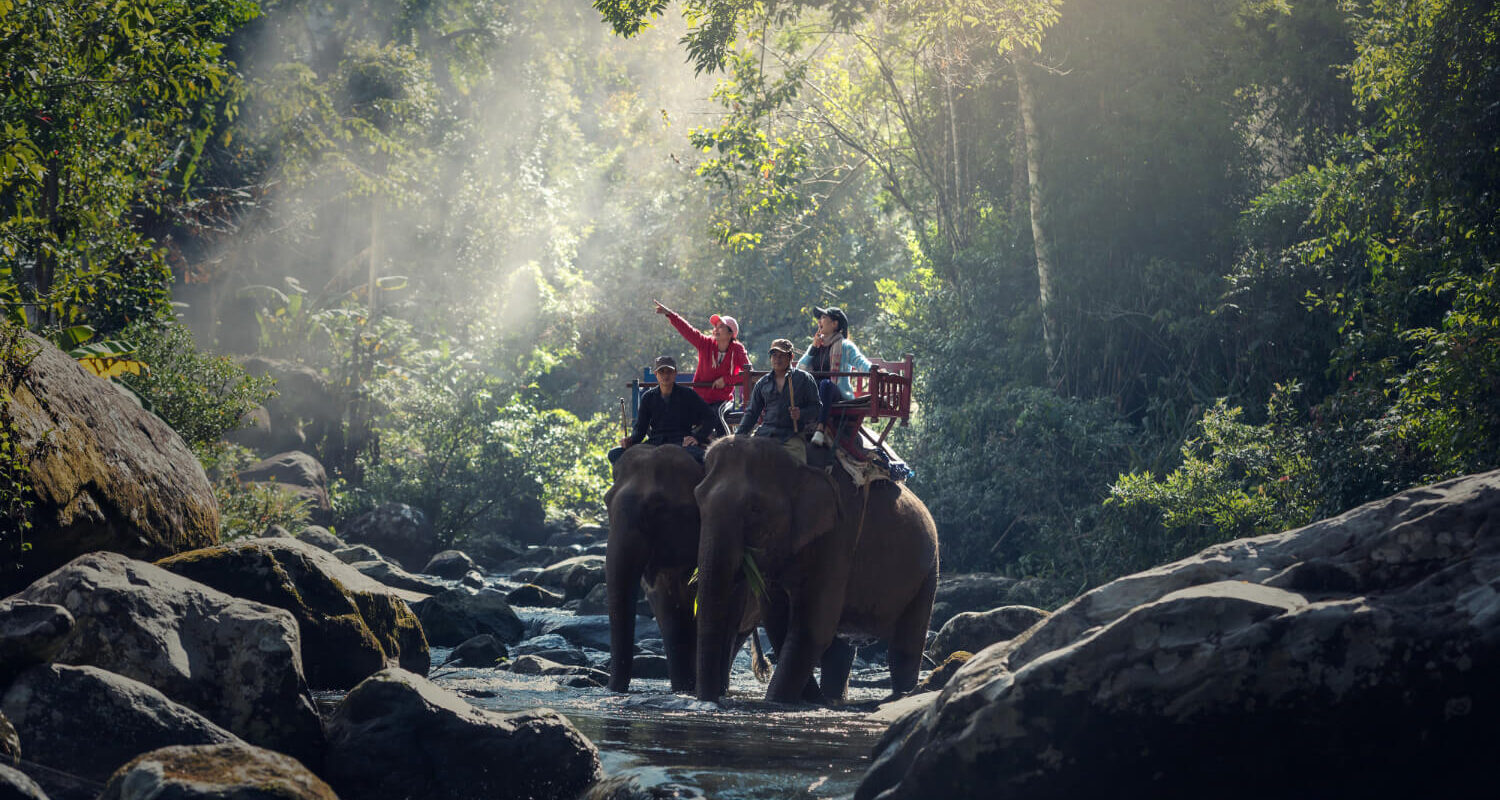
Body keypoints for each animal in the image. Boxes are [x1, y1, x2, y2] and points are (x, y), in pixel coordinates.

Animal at [690, 432, 936, 702]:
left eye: (755, 509)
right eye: (698, 500)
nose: (712, 699)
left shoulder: (840, 532)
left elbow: (813, 627)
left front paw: (778, 700)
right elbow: (778, 620)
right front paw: (806, 697)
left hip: (928, 571)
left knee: (906, 643)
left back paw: (901, 694)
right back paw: (833, 698)